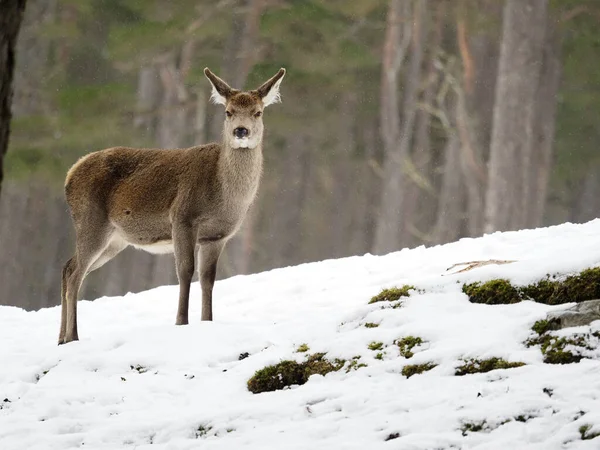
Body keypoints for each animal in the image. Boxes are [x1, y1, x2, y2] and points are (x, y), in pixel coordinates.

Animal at [58, 67, 286, 342]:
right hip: (91, 222)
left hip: (115, 240)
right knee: (75, 274)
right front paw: (181, 322)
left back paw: (60, 339)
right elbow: (185, 271)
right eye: (228, 111)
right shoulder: (182, 217)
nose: (241, 131)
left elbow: (208, 278)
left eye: (258, 112)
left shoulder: (217, 236)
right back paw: (72, 337)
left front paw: (207, 321)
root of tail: (70, 174)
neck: (225, 197)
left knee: (68, 267)